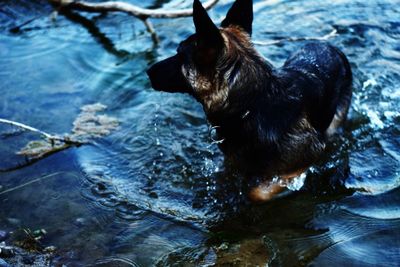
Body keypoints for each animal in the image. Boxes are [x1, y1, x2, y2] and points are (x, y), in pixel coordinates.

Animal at [146, 0, 350, 202]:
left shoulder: (303, 161)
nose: (148, 71)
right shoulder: (232, 161)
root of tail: (327, 45)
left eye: (179, 55)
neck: (253, 105)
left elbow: (257, 193)